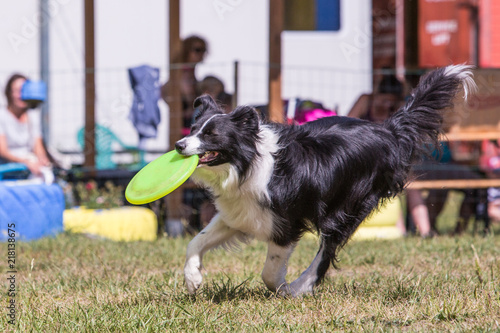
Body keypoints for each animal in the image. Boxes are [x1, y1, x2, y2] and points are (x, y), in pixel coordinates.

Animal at [177, 65, 476, 296]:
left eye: (211, 134)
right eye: (193, 129)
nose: (179, 145)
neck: (247, 164)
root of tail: (389, 130)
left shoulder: (286, 223)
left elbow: (270, 271)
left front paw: (282, 288)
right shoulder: (240, 211)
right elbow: (196, 242)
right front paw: (193, 280)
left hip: (347, 205)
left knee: (326, 250)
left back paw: (301, 286)